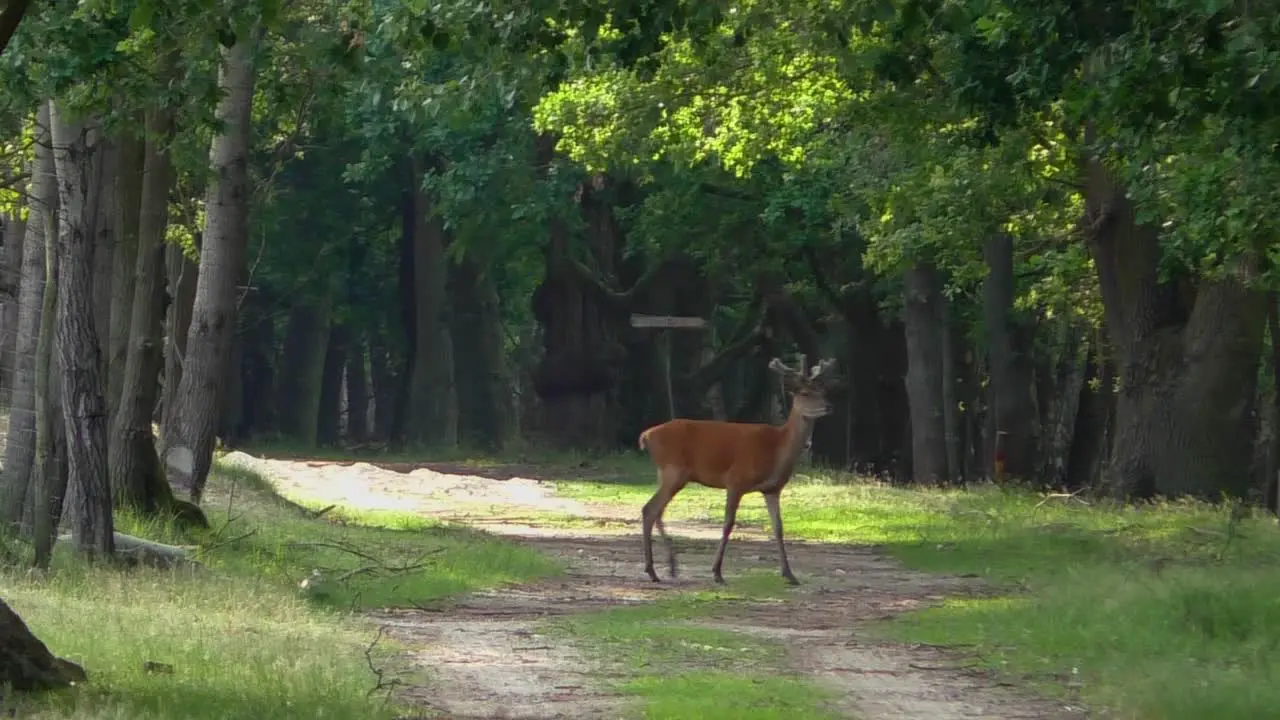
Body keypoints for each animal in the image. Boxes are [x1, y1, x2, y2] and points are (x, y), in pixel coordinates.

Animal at [634, 353, 834, 584]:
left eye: (823, 391)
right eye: (804, 393)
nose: (828, 407)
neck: (777, 447)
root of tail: (646, 435)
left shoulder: (772, 489)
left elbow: (778, 527)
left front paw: (789, 574)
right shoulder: (736, 480)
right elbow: (728, 523)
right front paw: (717, 572)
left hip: (666, 473)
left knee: (656, 510)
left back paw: (669, 567)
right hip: (674, 470)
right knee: (650, 509)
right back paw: (653, 570)